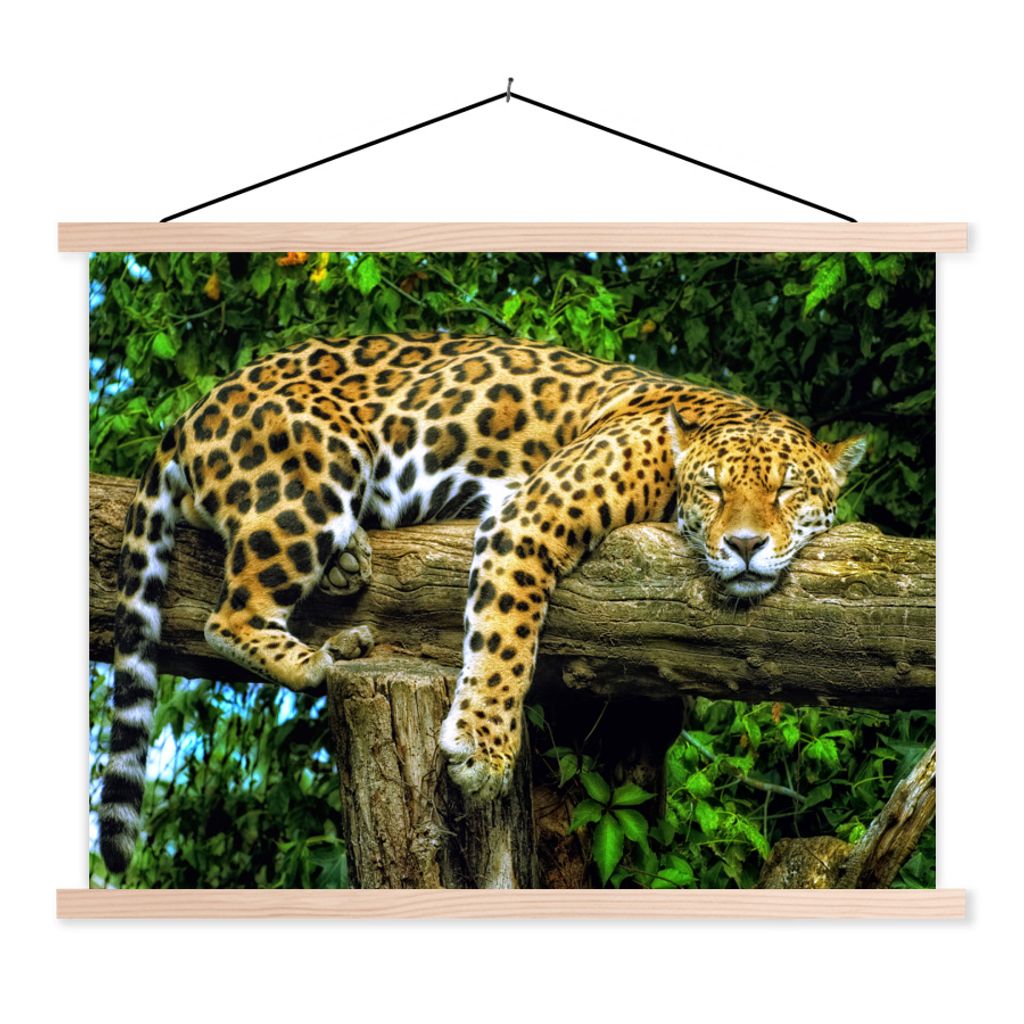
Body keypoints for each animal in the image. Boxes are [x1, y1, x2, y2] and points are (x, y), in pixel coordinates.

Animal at [98, 332, 865, 872]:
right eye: (712, 489)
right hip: (312, 476)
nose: (743, 544)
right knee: (227, 616)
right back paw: (319, 659)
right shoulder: (529, 516)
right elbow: (506, 642)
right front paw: (484, 750)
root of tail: (194, 408)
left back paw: (347, 589)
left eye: (789, 490)